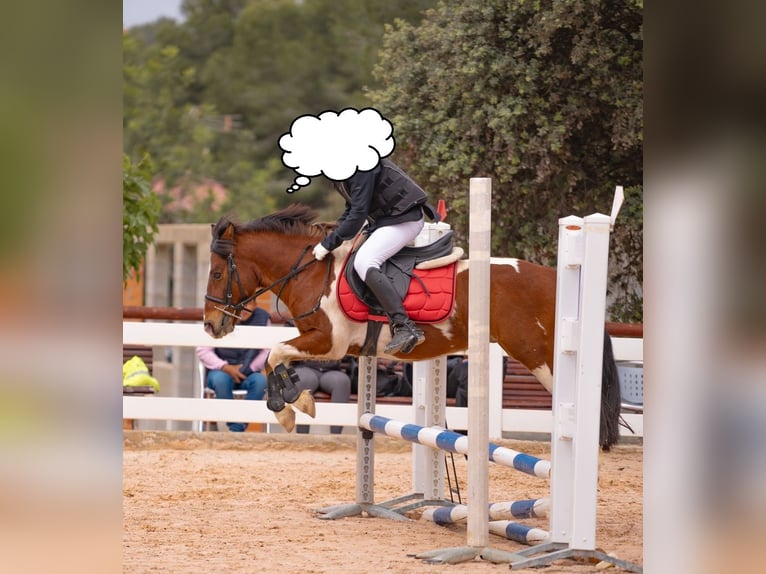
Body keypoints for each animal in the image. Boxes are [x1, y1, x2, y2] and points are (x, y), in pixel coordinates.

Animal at [202, 205, 624, 452]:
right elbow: (278, 357)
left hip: (539, 357)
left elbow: (274, 353)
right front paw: (297, 400)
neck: (312, 273)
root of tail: (559, 279)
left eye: (218, 273)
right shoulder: (325, 345)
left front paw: (288, 405)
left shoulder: (328, 342)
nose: (210, 325)